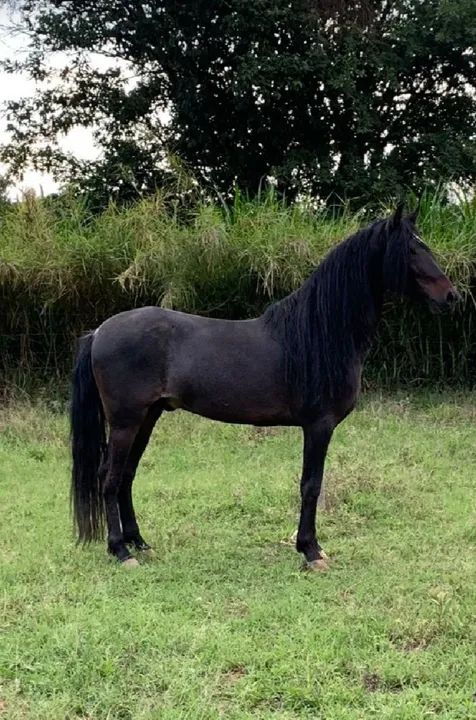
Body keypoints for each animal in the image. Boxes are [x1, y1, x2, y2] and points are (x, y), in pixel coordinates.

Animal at [70, 205, 459, 569]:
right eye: (411, 249)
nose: (451, 296)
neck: (320, 333)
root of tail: (99, 332)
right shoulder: (319, 425)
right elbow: (311, 485)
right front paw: (311, 551)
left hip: (148, 417)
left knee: (126, 476)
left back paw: (139, 543)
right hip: (126, 421)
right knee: (109, 477)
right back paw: (121, 550)